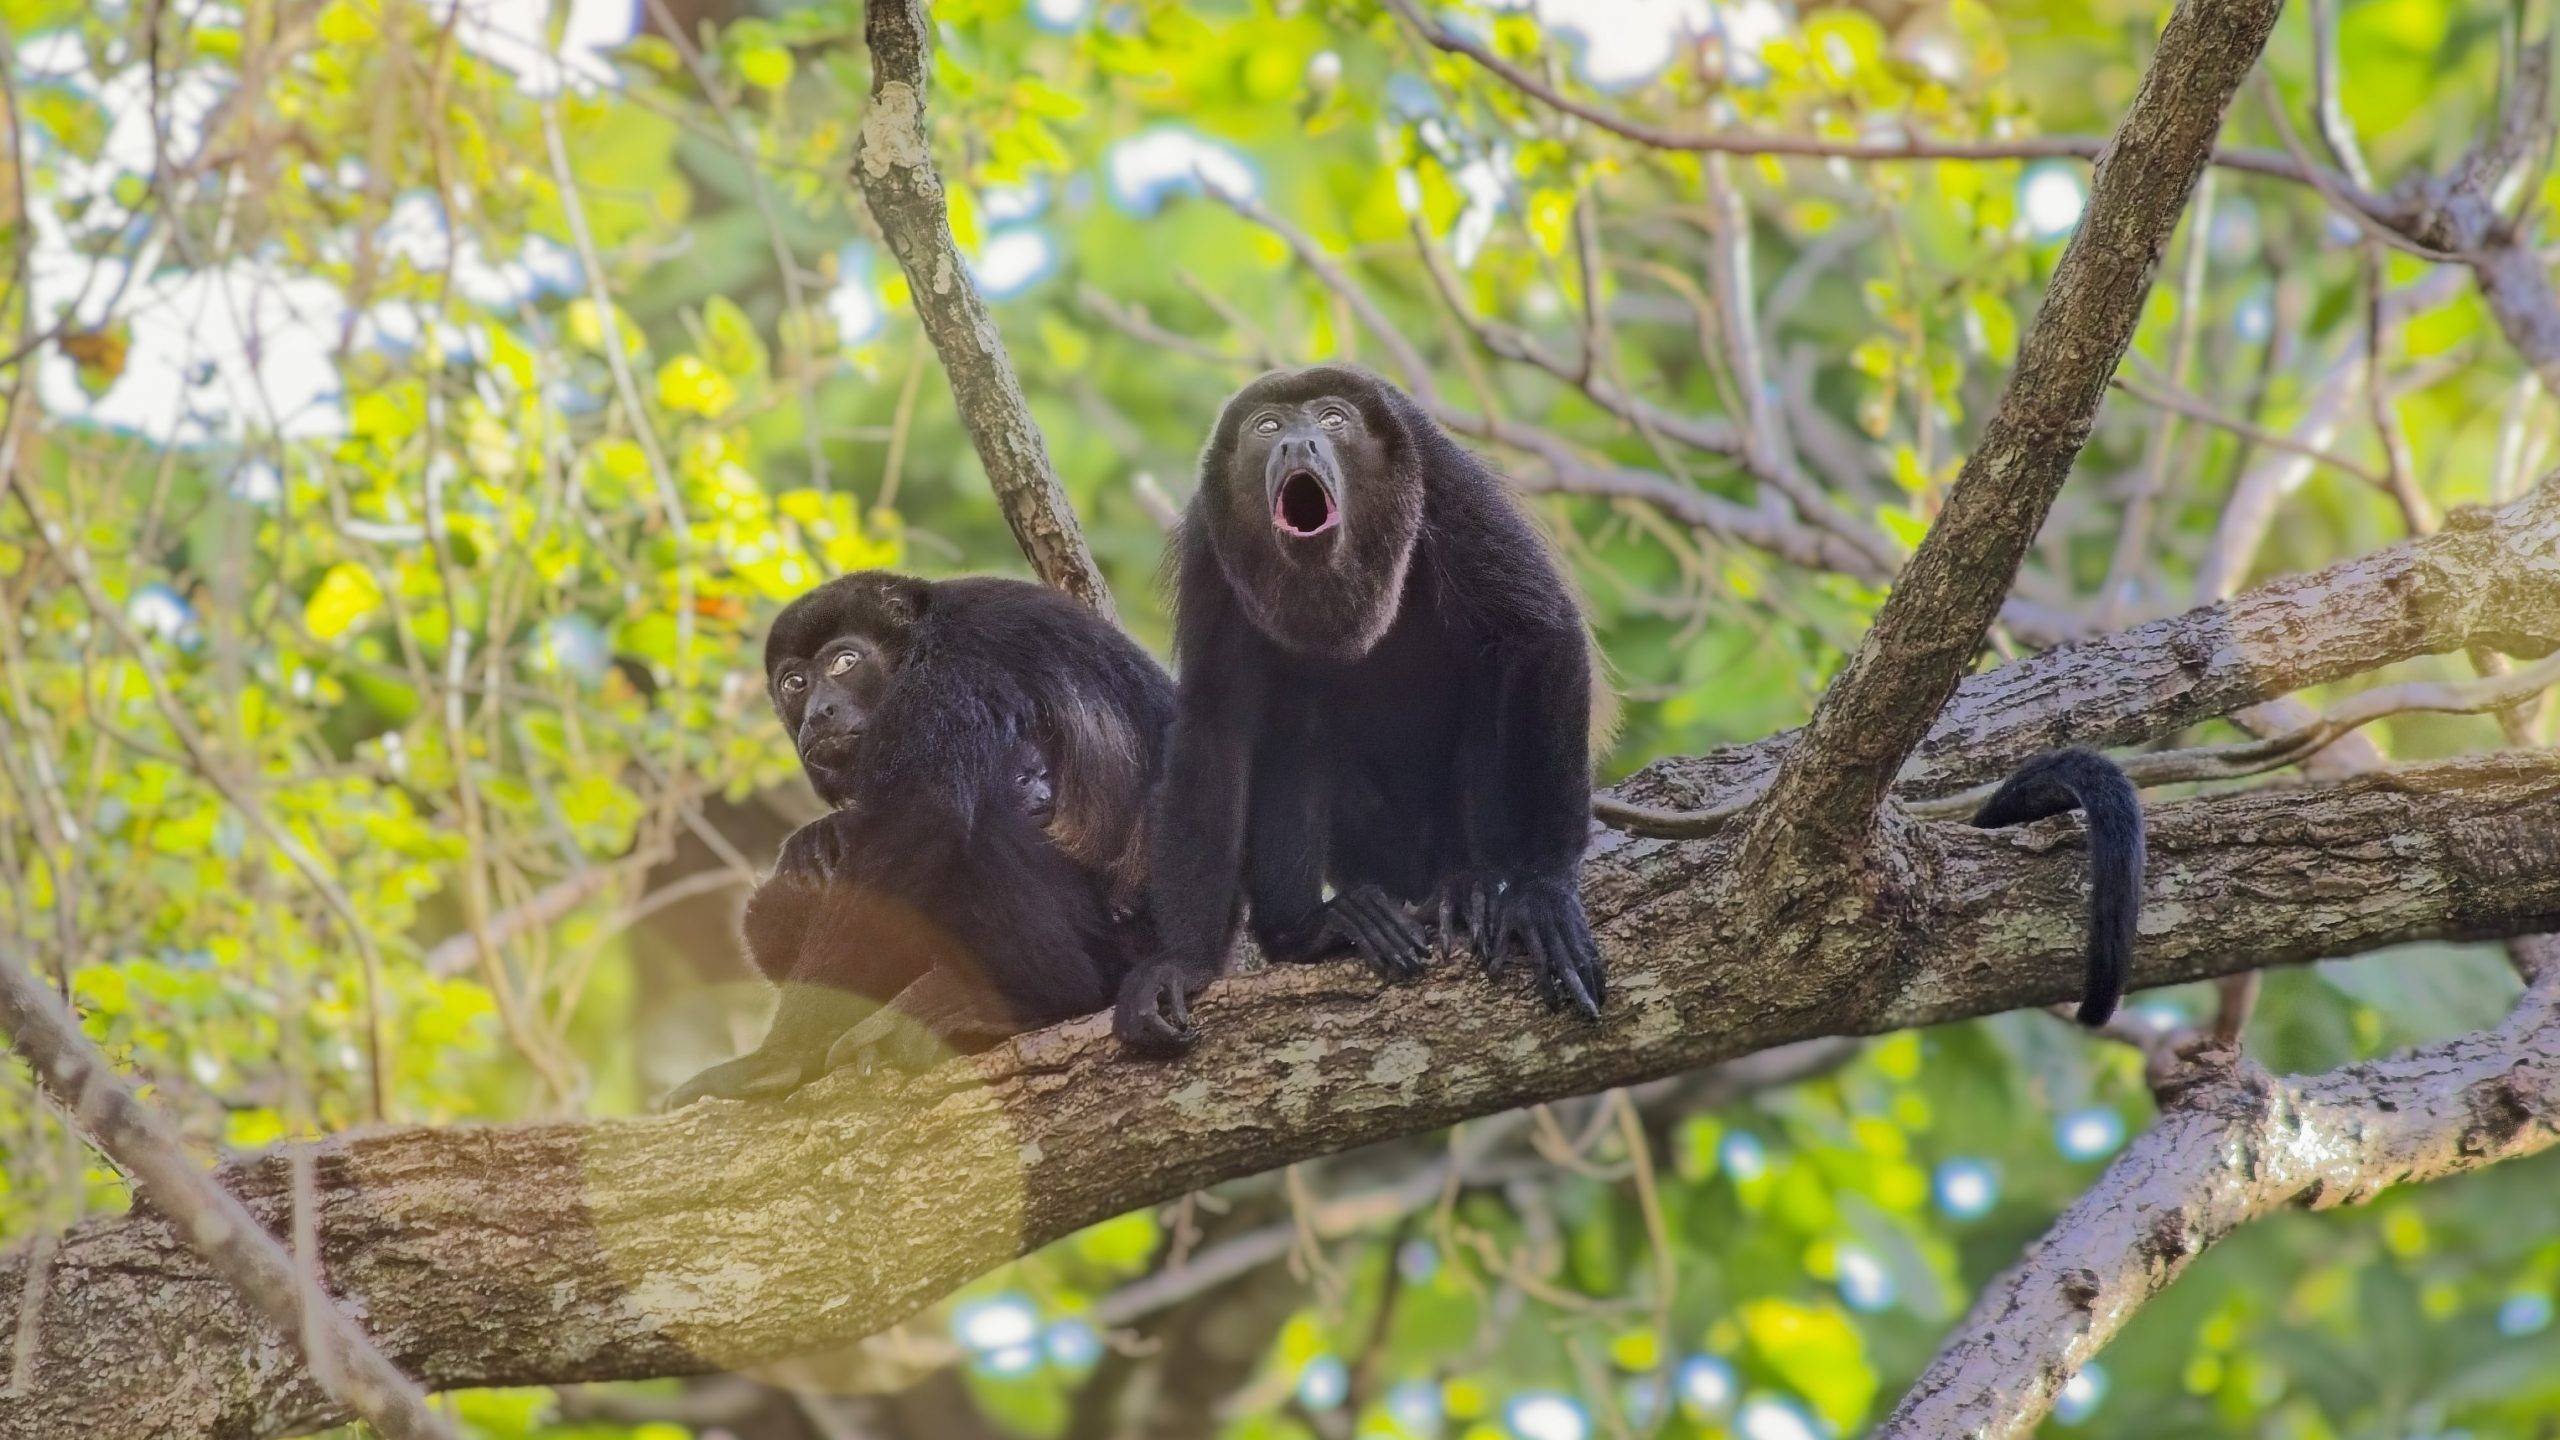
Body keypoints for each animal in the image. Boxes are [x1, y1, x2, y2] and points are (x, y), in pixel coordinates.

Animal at [664, 571, 1173, 1106]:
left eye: (845, 662)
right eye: (794, 683)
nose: (819, 713)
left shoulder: (951, 667)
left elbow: (919, 818)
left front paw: (778, 1059)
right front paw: (819, 837)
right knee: (770, 911)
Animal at [1116, 364, 1606, 1055]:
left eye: (1332, 419)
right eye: (1267, 426)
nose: (1297, 444)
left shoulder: (1442, 474)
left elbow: (1537, 630)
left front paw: (1544, 890)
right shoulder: (1209, 548)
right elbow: (1215, 726)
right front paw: (1183, 964)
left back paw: (1472, 887)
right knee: (1296, 728)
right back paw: (1314, 929)